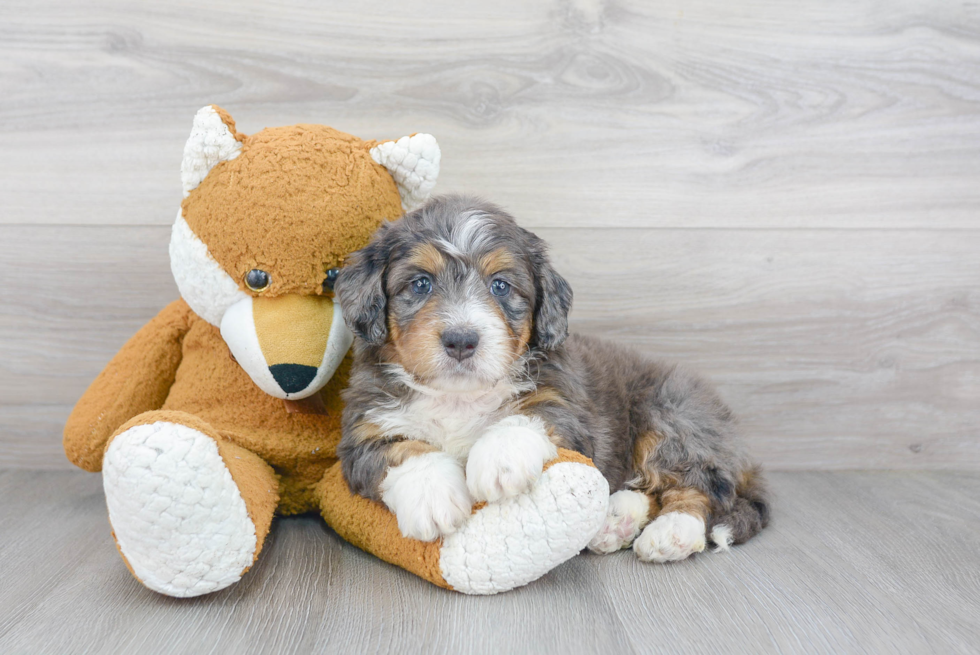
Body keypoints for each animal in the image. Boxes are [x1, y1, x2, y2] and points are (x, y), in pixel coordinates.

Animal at [334, 195, 768, 564]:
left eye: (500, 286)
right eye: (420, 283)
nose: (461, 340)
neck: (459, 397)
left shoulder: (567, 407)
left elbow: (528, 415)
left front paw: (500, 461)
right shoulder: (365, 430)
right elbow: (404, 450)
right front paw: (432, 498)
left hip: (674, 417)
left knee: (696, 488)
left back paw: (671, 533)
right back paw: (616, 520)